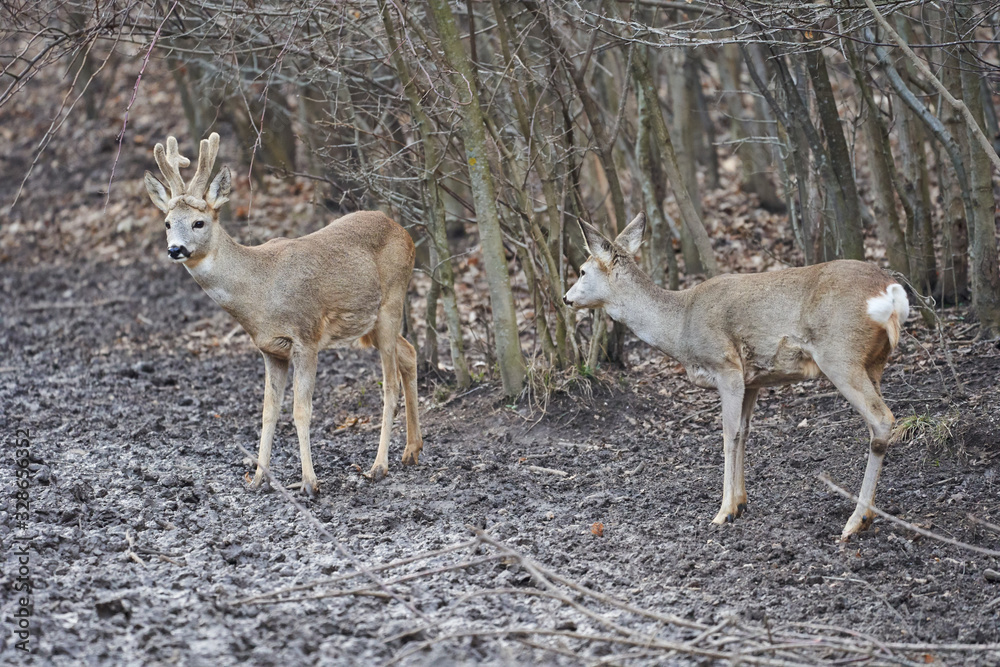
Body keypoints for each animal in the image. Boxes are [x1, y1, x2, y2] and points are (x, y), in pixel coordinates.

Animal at [143, 133, 420, 494]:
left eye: (198, 222)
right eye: (166, 223)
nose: (175, 249)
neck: (260, 291)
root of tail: (406, 233)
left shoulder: (306, 336)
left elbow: (301, 410)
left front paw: (310, 482)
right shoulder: (270, 350)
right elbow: (268, 412)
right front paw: (258, 478)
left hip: (391, 301)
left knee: (389, 384)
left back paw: (378, 466)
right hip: (368, 323)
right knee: (409, 353)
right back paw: (412, 450)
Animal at [568, 214, 912, 544]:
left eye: (582, 271)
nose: (566, 298)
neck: (680, 325)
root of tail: (891, 293)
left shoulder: (726, 367)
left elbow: (728, 434)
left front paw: (724, 511)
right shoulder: (753, 380)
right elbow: (745, 432)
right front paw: (742, 502)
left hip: (840, 354)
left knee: (882, 418)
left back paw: (855, 521)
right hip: (874, 362)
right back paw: (868, 516)